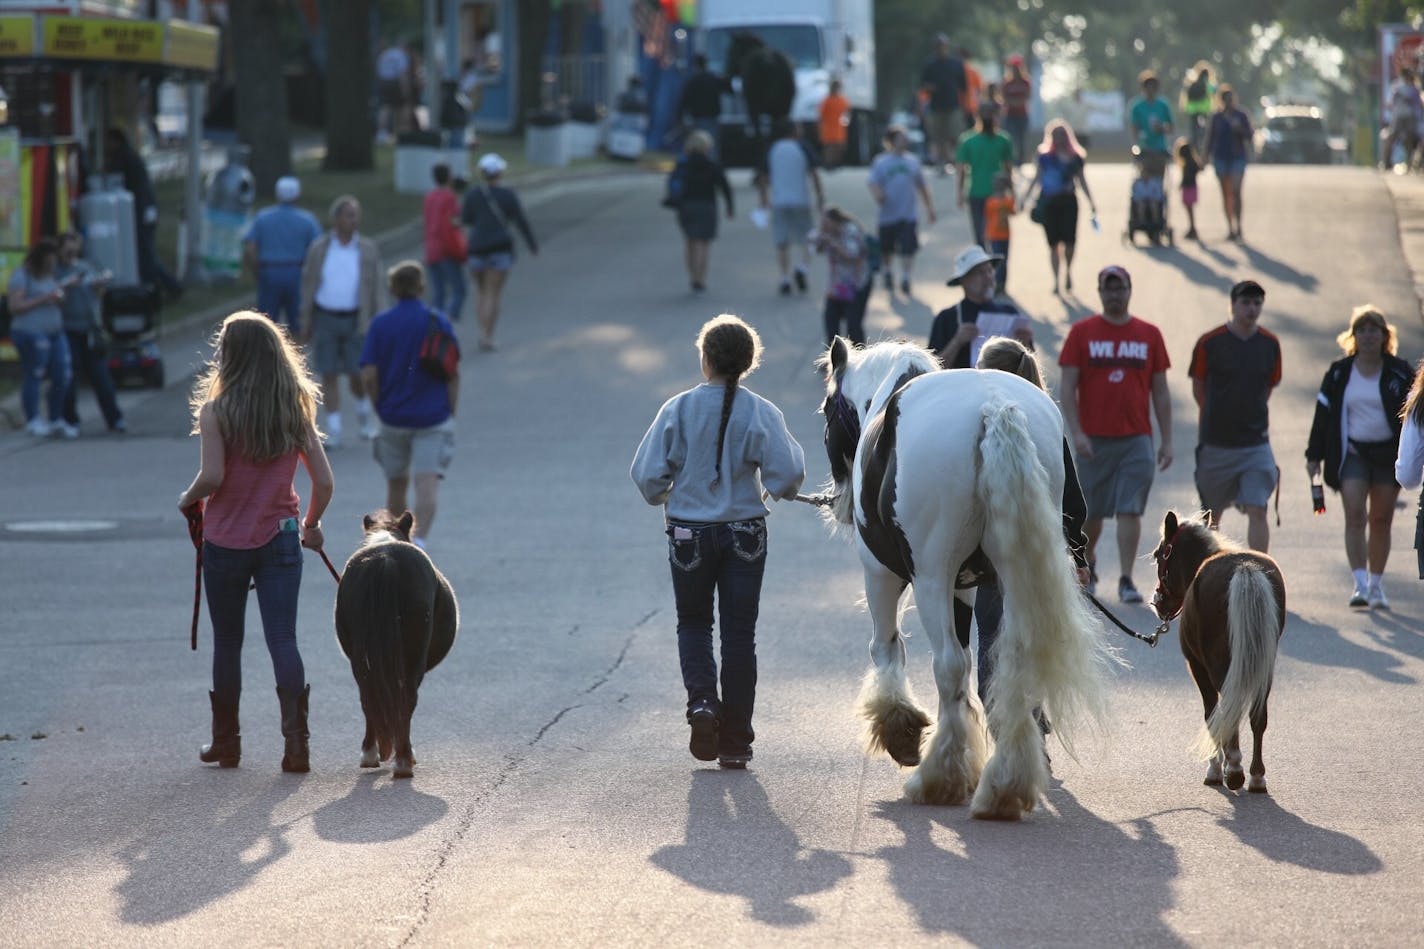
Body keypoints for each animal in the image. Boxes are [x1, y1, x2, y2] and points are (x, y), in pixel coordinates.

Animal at [336, 510, 458, 775]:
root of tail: (385, 561)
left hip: (361, 657)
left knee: (368, 696)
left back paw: (371, 753)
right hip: (413, 657)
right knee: (407, 698)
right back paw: (403, 759)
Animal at [1150, 510, 1287, 792]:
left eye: (1159, 554)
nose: (1158, 601)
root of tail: (1245, 568)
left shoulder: (1197, 666)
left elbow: (1212, 712)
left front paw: (1215, 767)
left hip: (1217, 663)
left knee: (1227, 710)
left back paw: (1233, 769)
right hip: (1264, 667)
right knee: (1258, 715)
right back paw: (1257, 776)